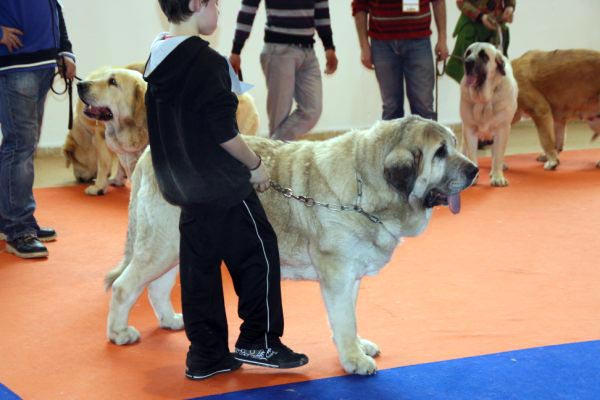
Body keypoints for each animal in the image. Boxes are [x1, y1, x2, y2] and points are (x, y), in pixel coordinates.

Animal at [103, 115, 478, 376]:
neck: (365, 183)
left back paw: (170, 320)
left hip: (175, 248)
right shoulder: (337, 276)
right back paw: (119, 332)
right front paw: (354, 360)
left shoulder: (351, 277)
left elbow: (350, 317)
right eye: (440, 153)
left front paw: (357, 348)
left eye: (455, 144)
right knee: (124, 287)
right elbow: (345, 320)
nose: (474, 169)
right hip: (160, 245)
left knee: (155, 288)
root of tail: (148, 155)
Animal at [462, 43, 516, 187]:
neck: (484, 100)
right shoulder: (469, 130)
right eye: (468, 53)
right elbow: (472, 155)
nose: (467, 62)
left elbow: (498, 156)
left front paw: (497, 176)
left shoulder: (502, 130)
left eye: (484, 56)